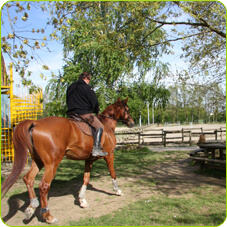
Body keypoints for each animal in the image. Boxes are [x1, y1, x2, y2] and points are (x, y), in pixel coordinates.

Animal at [1, 97, 135, 223]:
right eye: (127, 109)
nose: (132, 122)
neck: (106, 125)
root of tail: (36, 123)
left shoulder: (89, 160)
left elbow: (86, 179)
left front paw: (82, 200)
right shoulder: (110, 156)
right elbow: (113, 173)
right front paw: (117, 190)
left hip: (38, 161)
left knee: (28, 179)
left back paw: (31, 207)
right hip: (52, 163)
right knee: (44, 186)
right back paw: (48, 216)